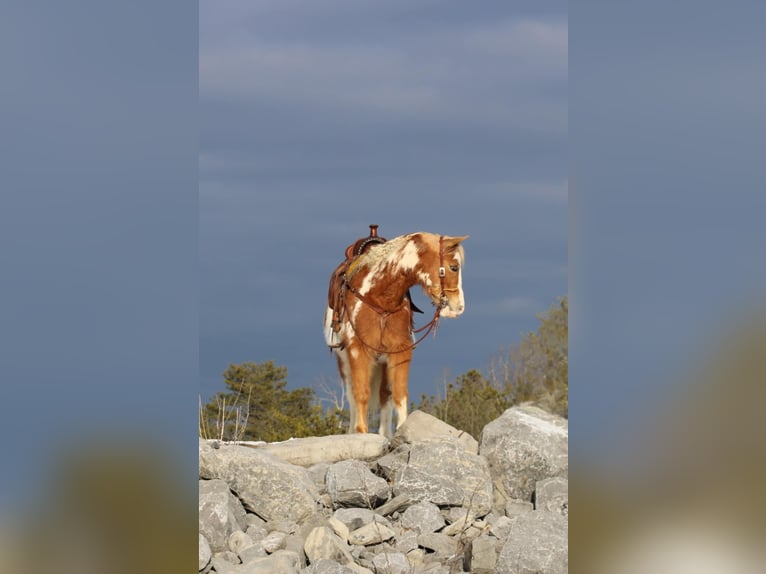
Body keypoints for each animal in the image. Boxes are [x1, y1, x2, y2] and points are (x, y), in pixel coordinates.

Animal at [324, 227, 468, 438]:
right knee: (351, 394)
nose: (458, 307)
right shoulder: (359, 351)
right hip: (345, 363)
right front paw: (361, 433)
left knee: (385, 395)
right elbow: (361, 393)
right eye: (454, 267)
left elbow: (399, 395)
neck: (379, 296)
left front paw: (401, 432)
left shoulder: (400, 351)